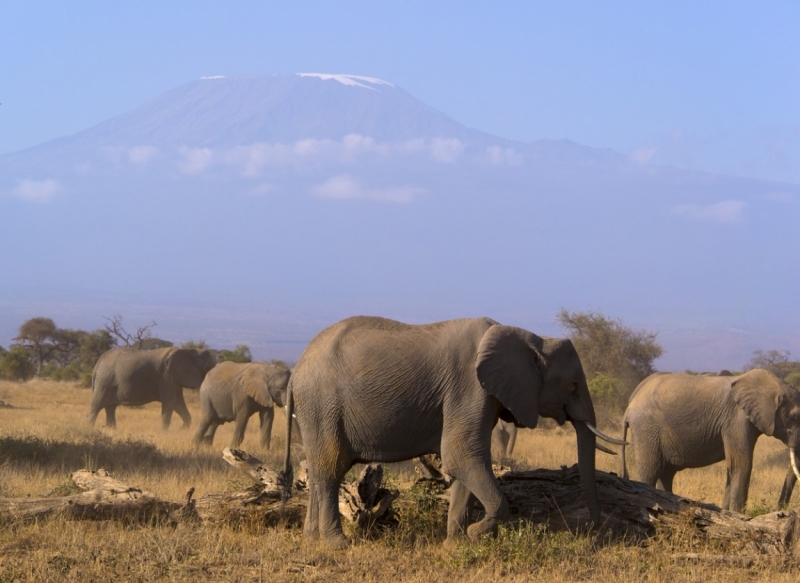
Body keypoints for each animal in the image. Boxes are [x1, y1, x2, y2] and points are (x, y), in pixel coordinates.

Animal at [88, 346, 216, 428]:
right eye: (207, 367)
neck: (188, 350)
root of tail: (97, 365)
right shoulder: (166, 376)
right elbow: (171, 402)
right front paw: (164, 433)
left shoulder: (174, 378)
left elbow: (178, 403)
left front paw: (182, 430)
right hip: (104, 382)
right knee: (96, 406)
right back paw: (89, 429)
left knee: (110, 408)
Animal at [282, 318, 624, 548]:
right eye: (573, 385)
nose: (592, 531)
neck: (530, 338)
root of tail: (296, 371)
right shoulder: (469, 387)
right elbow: (462, 456)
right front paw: (475, 534)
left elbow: (463, 464)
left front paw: (456, 544)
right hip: (322, 404)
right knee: (331, 467)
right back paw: (337, 544)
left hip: (316, 410)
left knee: (319, 469)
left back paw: (311, 539)